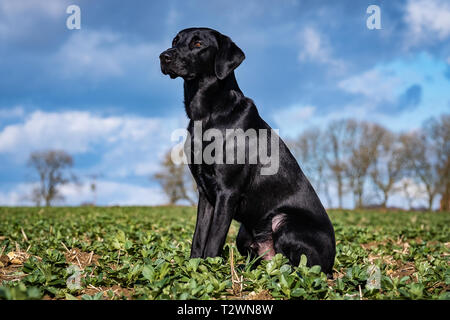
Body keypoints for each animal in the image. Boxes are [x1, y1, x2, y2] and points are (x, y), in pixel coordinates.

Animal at [159, 28, 334, 276]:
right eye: (175, 41)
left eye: (198, 43)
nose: (164, 56)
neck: (206, 115)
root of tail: (332, 261)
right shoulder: (205, 192)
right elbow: (199, 238)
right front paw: (194, 268)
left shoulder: (227, 192)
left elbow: (213, 241)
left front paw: (210, 271)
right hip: (244, 234)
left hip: (285, 222)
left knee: (300, 269)